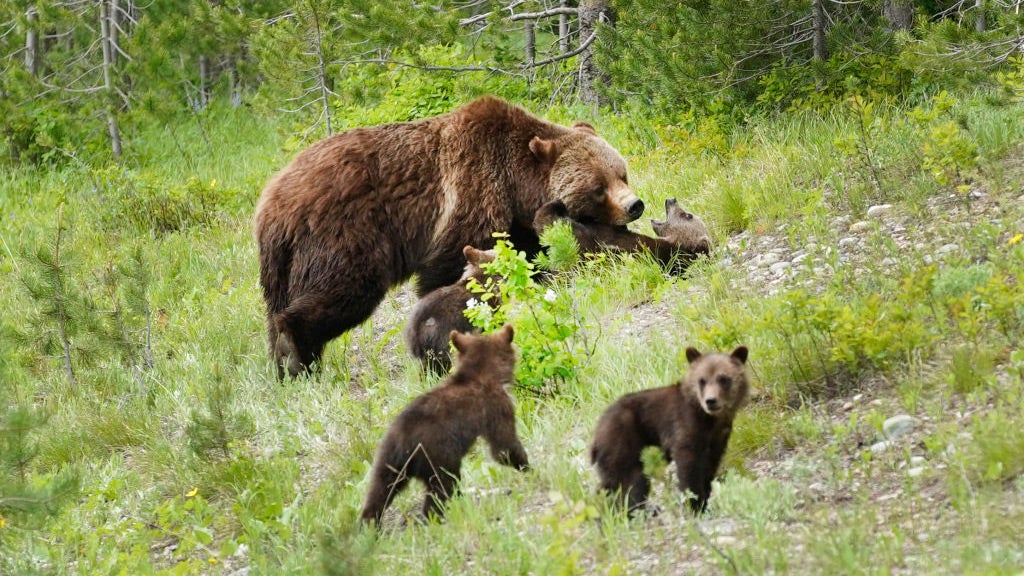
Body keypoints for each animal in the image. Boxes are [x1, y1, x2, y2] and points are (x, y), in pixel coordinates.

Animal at [360, 323, 528, 524]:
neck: (481, 374)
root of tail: (403, 444)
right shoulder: (496, 407)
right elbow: (504, 446)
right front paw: (527, 466)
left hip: (386, 460)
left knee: (379, 491)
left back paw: (369, 524)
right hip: (438, 457)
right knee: (442, 487)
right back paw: (435, 517)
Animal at [589, 342, 749, 512]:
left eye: (723, 379)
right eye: (702, 380)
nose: (710, 401)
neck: (710, 419)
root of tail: (596, 432)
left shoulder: (718, 436)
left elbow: (710, 465)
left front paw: (705, 499)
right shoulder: (685, 425)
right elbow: (688, 465)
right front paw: (695, 503)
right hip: (623, 443)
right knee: (630, 482)